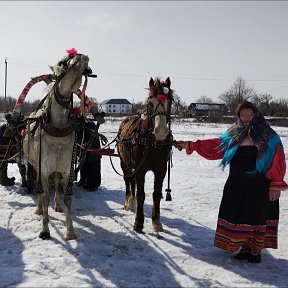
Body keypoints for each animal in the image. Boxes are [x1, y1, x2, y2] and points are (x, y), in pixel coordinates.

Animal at [22, 52, 89, 241]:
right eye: (62, 62)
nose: (81, 56)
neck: (58, 130)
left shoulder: (68, 170)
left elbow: (68, 198)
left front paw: (70, 230)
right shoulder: (43, 170)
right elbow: (44, 196)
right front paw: (45, 230)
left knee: (57, 183)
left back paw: (57, 206)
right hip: (36, 165)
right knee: (40, 189)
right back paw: (38, 209)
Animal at [116, 77, 173, 234]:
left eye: (170, 101)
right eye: (150, 103)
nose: (161, 131)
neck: (152, 143)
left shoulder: (161, 170)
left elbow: (156, 195)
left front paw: (157, 222)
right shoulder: (140, 169)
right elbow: (141, 195)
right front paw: (138, 223)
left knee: (132, 182)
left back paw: (132, 201)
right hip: (124, 162)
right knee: (128, 180)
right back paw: (128, 202)